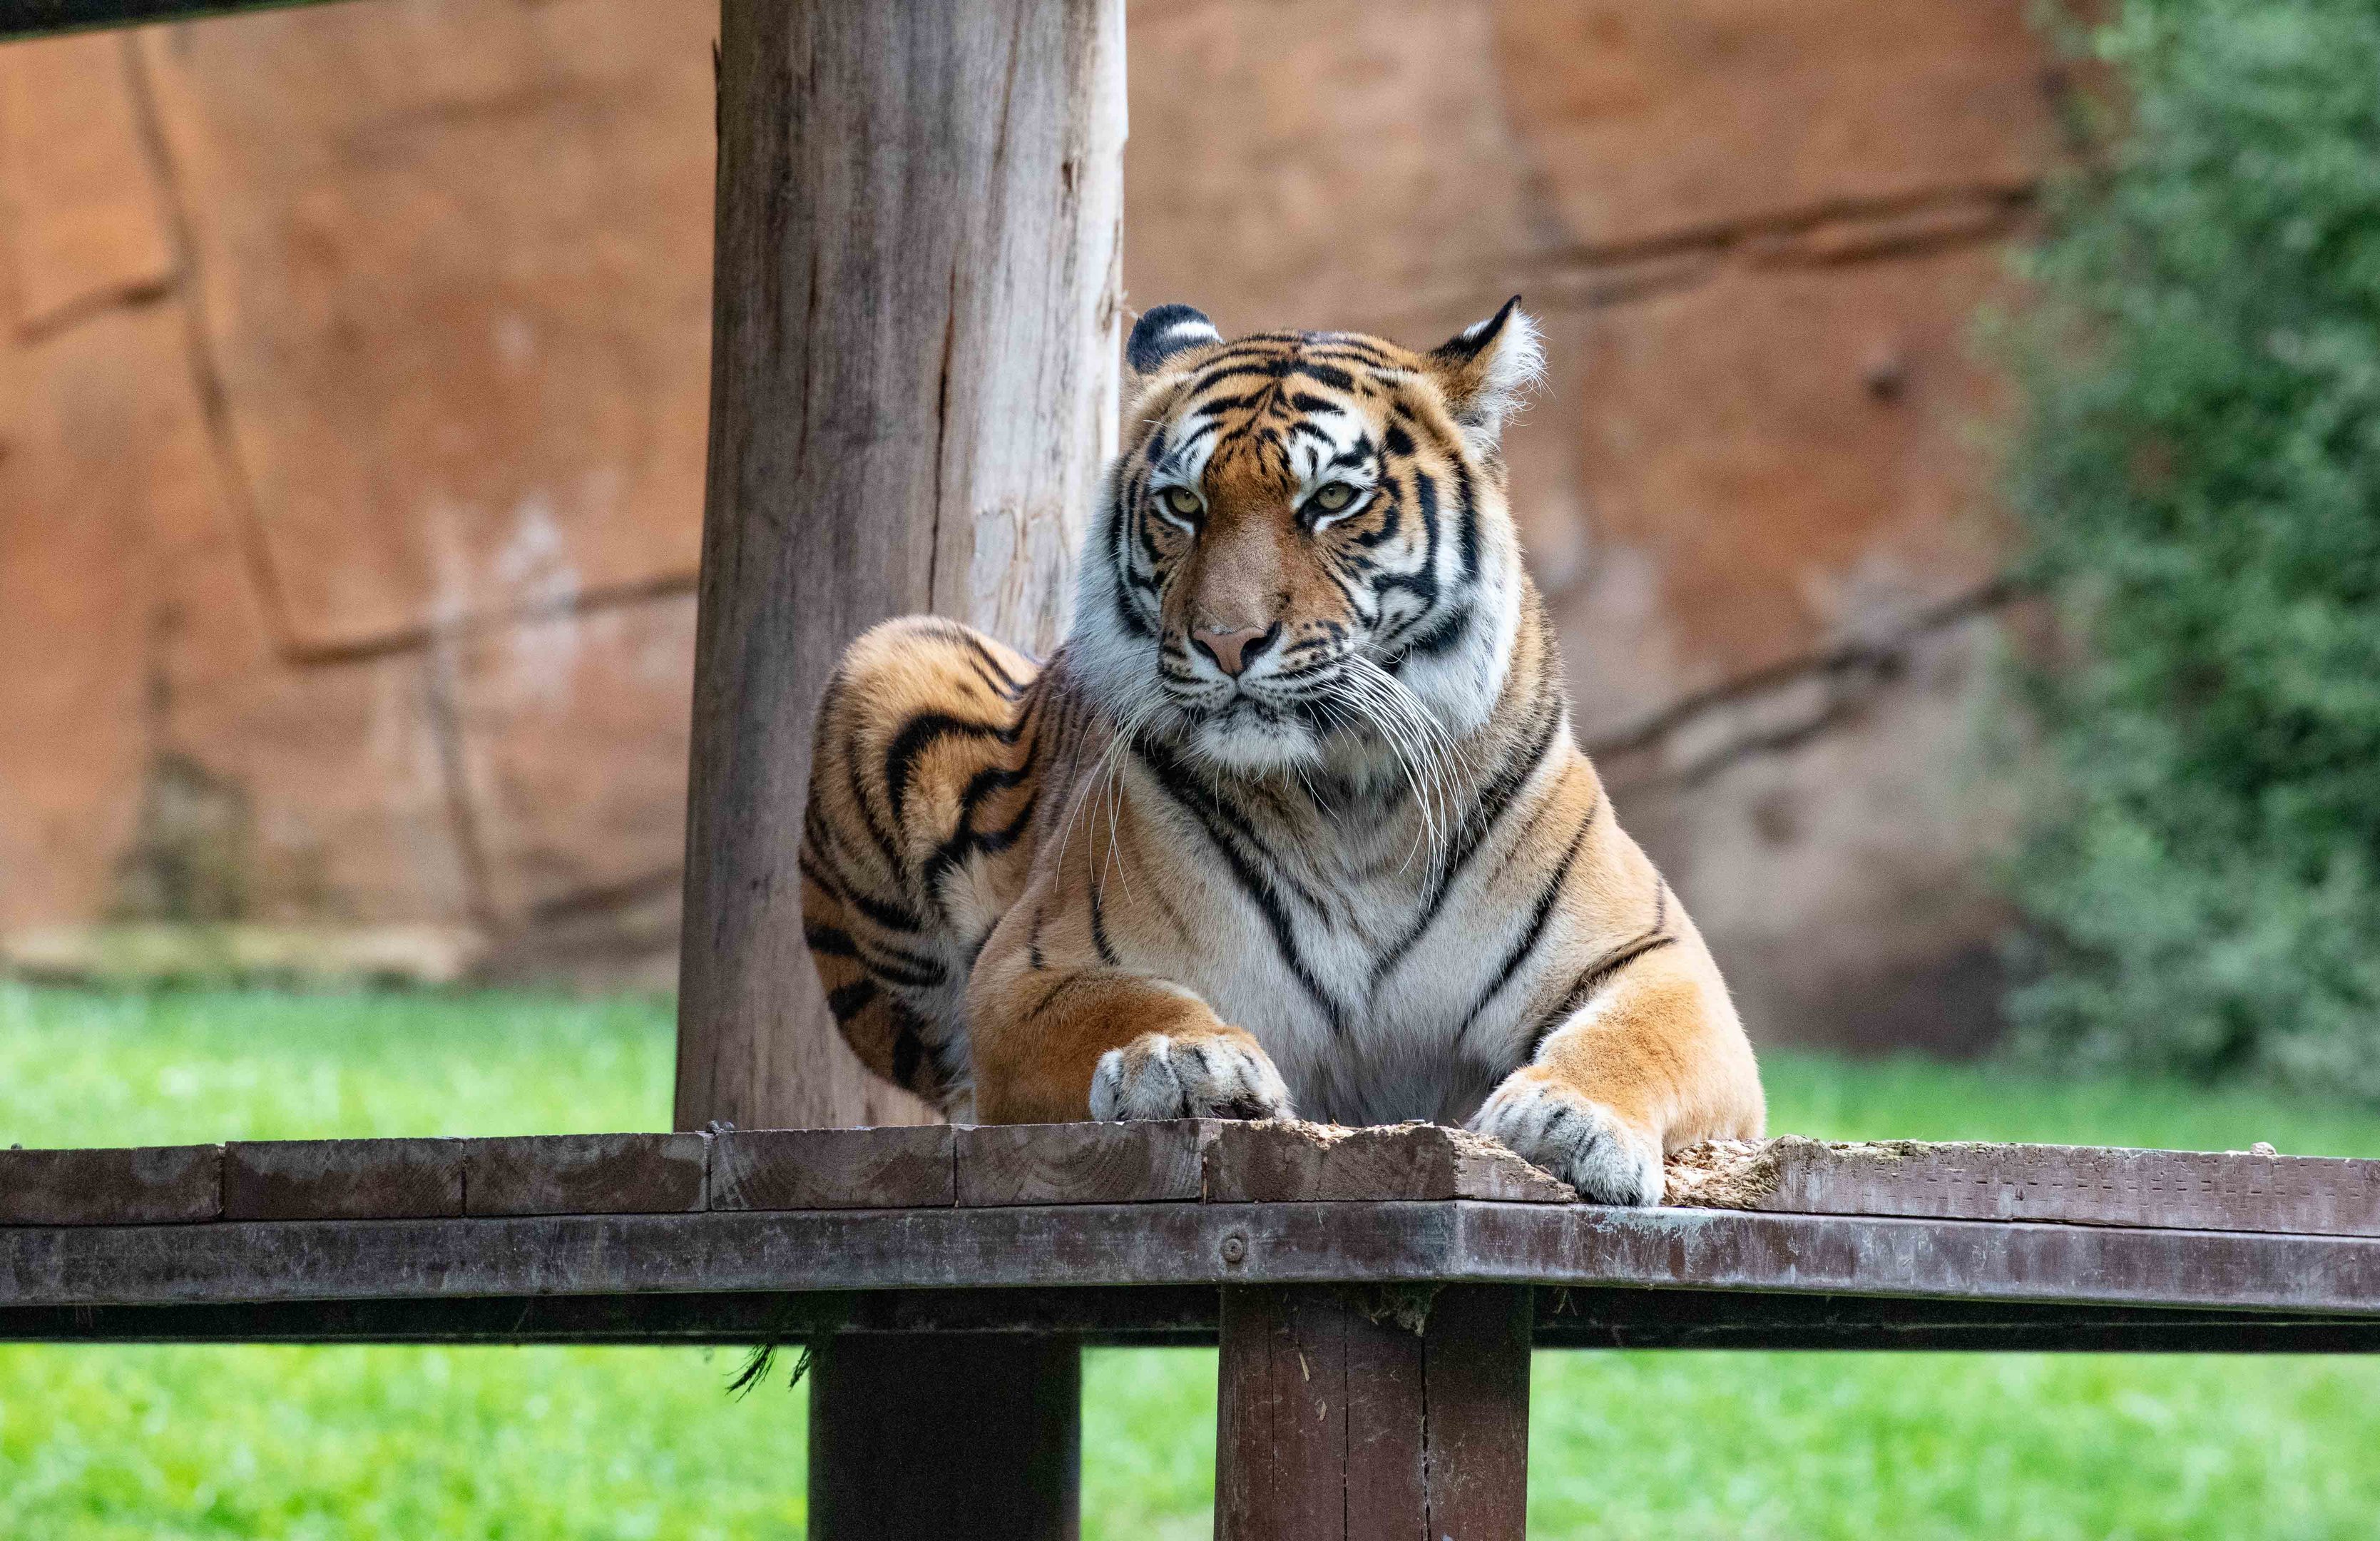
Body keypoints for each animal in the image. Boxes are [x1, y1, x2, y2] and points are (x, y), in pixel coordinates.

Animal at [797, 298, 1764, 1203]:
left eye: (1331, 500)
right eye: (1183, 505)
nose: (1226, 643)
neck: (1350, 795)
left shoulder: (1658, 958)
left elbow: (1634, 1037)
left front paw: (1569, 1119)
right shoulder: (1034, 965)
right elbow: (1119, 1003)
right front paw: (1177, 1062)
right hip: (888, 654)